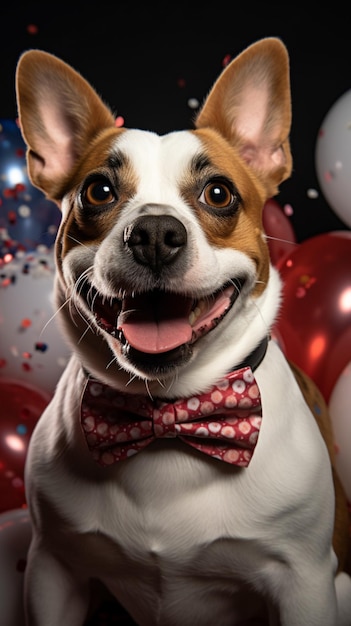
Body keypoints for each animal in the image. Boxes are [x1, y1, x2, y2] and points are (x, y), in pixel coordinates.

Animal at [14, 36, 351, 620]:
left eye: (219, 193)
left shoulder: (305, 583)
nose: (153, 232)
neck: (167, 413)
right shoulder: (54, 568)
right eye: (98, 191)